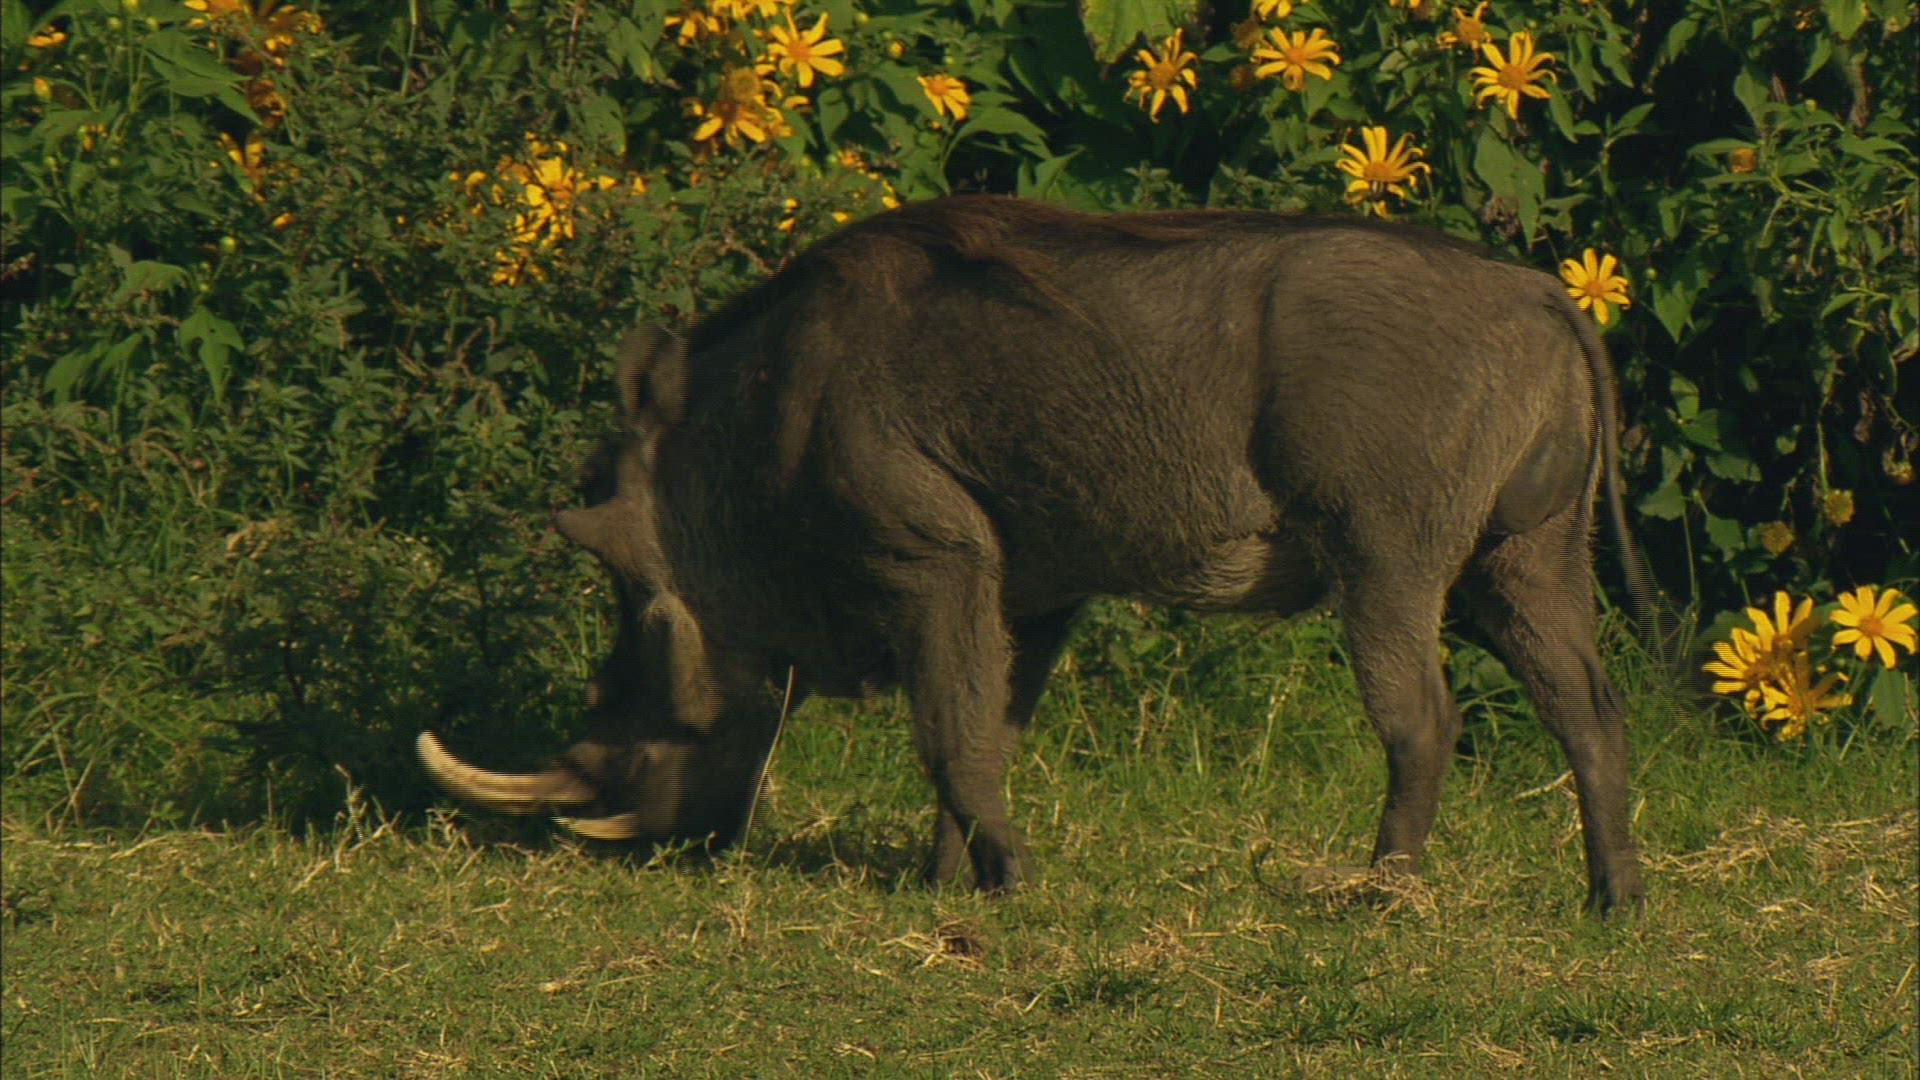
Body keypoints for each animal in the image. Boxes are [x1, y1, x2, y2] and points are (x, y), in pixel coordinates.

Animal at [418, 195, 1651, 915]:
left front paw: (1008, 892)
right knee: (1587, 710)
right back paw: (1614, 903)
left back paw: (1377, 899)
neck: (764, 433)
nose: (620, 838)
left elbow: (947, 736)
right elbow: (989, 731)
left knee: (1422, 722)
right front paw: (943, 892)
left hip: (1392, 555)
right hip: (1527, 562)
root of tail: (1548, 297)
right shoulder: (1031, 591)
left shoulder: (934, 560)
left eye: (631, 584)